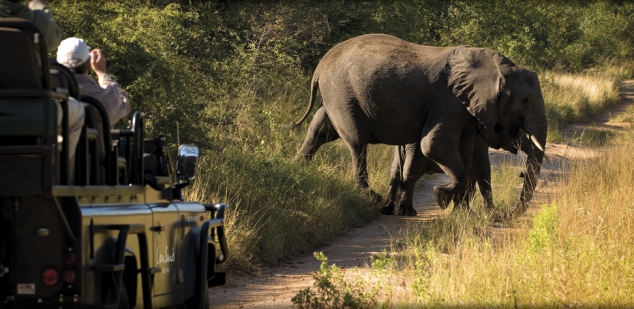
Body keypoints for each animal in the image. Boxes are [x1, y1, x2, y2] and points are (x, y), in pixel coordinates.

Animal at [284, 33, 544, 208]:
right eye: (524, 100)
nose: (510, 212)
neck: (496, 67)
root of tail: (320, 66)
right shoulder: (449, 102)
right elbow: (434, 145)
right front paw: (441, 196)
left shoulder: (466, 111)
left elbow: (465, 151)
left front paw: (454, 204)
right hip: (342, 93)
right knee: (357, 142)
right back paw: (371, 197)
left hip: (335, 96)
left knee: (320, 130)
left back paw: (295, 169)